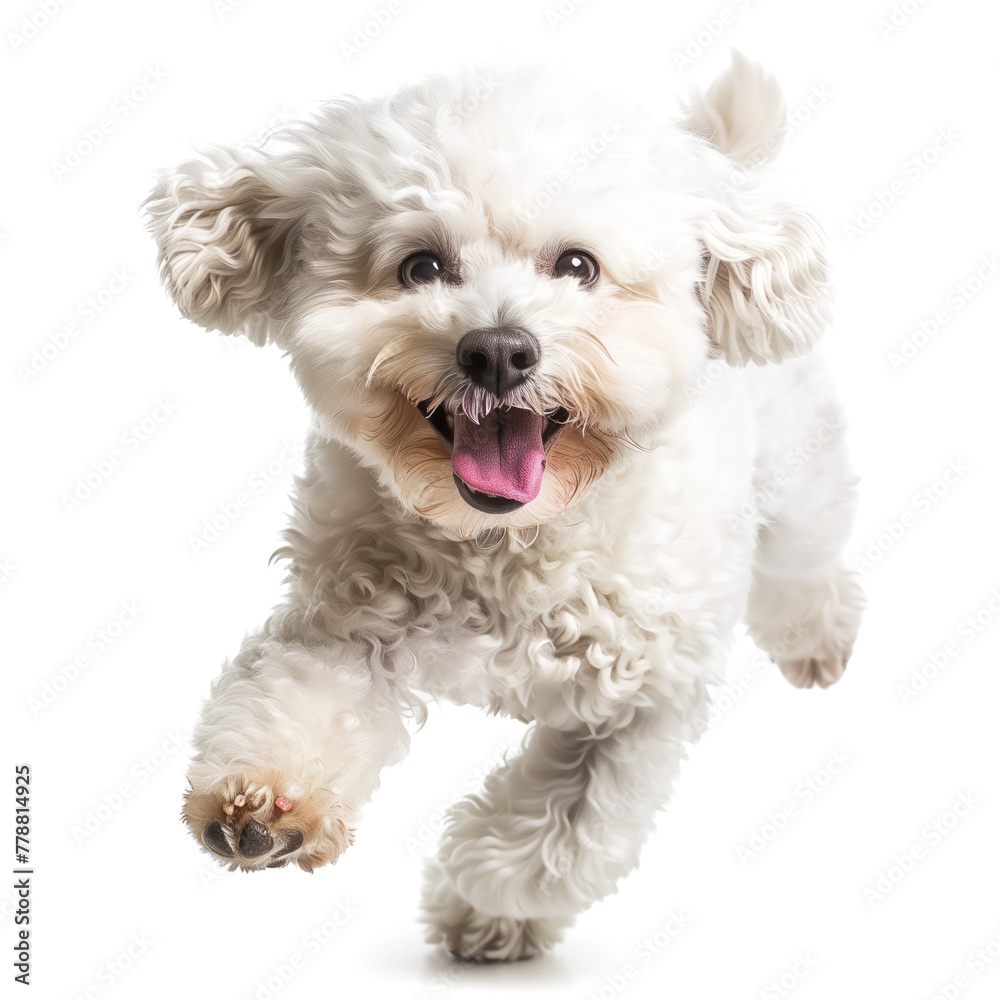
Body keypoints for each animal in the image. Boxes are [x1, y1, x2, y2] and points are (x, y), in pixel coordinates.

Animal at [145, 52, 864, 960]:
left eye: (579, 266)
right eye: (421, 266)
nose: (496, 349)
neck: (508, 543)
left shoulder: (640, 707)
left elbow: (560, 837)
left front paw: (489, 911)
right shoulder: (346, 625)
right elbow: (294, 696)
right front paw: (266, 805)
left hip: (798, 470)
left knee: (807, 558)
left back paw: (819, 638)